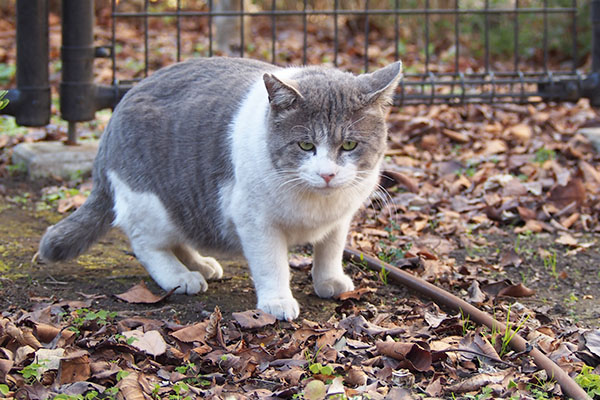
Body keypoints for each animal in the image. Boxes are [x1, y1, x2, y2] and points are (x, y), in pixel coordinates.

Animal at [38, 56, 404, 320]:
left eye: (349, 145)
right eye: (305, 146)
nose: (327, 174)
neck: (316, 204)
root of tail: (112, 122)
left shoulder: (341, 218)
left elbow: (330, 250)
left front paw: (329, 281)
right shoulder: (255, 221)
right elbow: (272, 264)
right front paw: (277, 301)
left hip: (185, 206)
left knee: (182, 236)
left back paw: (200, 264)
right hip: (151, 204)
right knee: (147, 243)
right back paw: (180, 276)